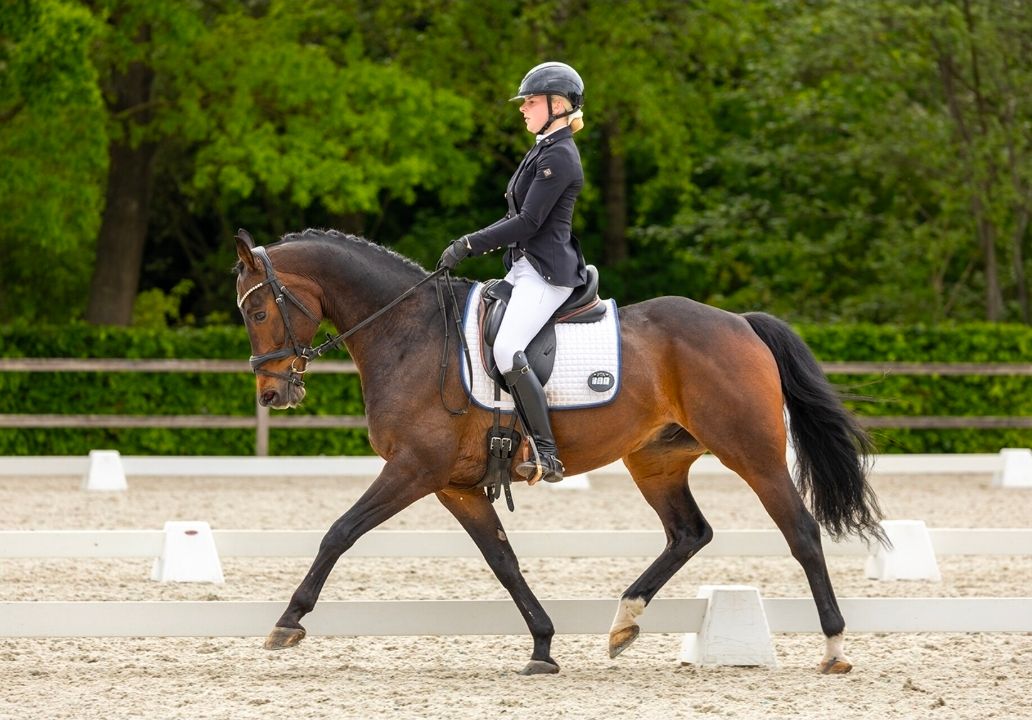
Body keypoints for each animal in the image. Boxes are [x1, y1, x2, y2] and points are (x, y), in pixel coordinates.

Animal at [233, 227, 885, 675]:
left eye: (259, 309)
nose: (272, 393)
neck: (409, 335)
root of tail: (741, 323)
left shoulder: (414, 469)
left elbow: (339, 532)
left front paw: (287, 622)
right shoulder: (454, 484)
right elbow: (503, 561)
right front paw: (543, 645)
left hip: (753, 453)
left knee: (800, 532)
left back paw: (834, 647)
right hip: (655, 459)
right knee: (688, 533)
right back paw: (623, 623)